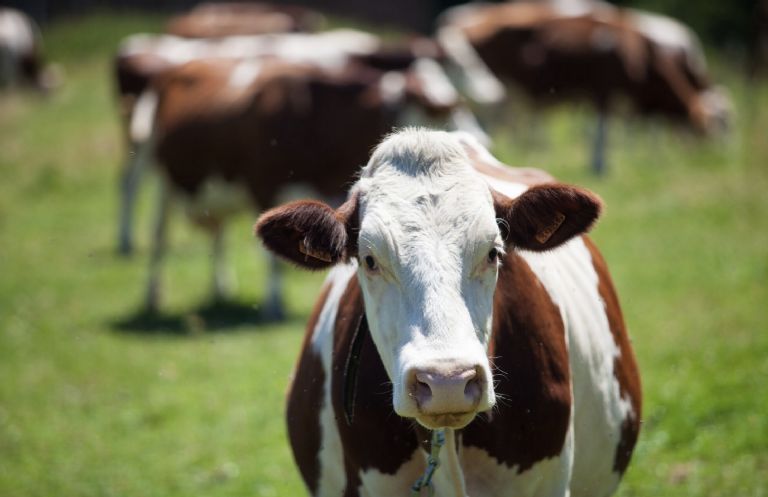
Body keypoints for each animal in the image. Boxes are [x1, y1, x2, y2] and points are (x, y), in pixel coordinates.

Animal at [137, 58, 486, 316]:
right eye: (443, 108)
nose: (481, 139)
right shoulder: (265, 185)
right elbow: (272, 261)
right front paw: (273, 304)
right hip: (160, 177)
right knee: (158, 235)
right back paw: (153, 296)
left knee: (217, 233)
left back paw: (221, 288)